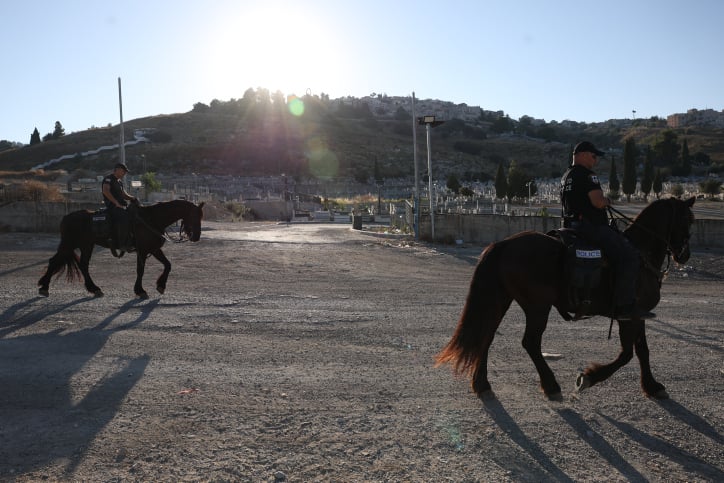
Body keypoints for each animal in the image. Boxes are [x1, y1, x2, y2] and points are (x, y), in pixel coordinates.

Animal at [38, 199, 205, 298]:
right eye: (195, 216)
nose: (196, 237)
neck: (151, 219)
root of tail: (66, 217)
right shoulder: (143, 250)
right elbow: (140, 270)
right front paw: (140, 290)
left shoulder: (153, 249)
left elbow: (168, 265)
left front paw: (161, 285)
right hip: (69, 244)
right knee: (54, 261)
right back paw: (44, 287)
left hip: (86, 245)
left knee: (83, 265)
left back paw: (94, 288)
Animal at [436, 197, 696, 400]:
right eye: (688, 220)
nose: (684, 255)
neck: (640, 252)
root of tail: (504, 244)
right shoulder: (628, 315)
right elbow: (627, 354)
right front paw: (589, 378)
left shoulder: (638, 315)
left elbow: (642, 350)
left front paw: (651, 386)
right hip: (537, 306)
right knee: (530, 342)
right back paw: (550, 385)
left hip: (502, 301)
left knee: (486, 336)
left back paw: (481, 383)